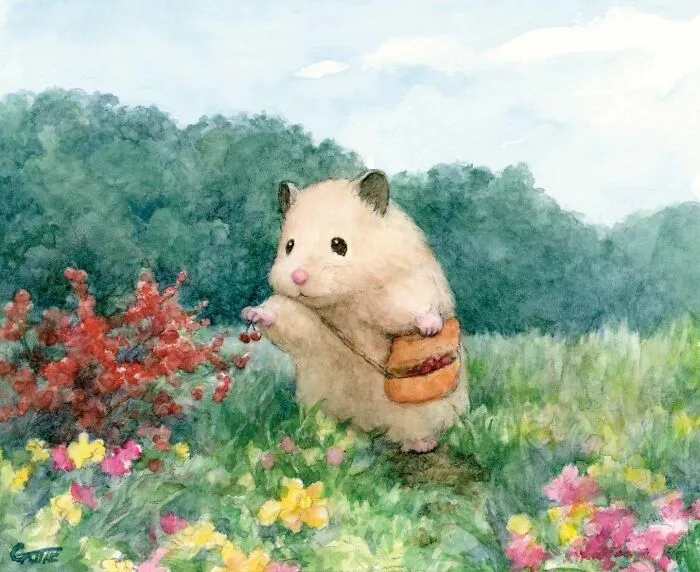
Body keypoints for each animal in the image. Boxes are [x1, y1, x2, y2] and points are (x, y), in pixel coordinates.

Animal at [242, 170, 468, 452]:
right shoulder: (306, 318)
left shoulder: (400, 289)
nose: (297, 277)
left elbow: (409, 307)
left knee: (416, 431)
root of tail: (370, 429)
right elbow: (282, 315)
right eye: (289, 246)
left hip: (424, 411)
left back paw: (421, 444)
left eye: (339, 244)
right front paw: (251, 313)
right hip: (318, 399)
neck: (344, 301)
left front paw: (430, 326)